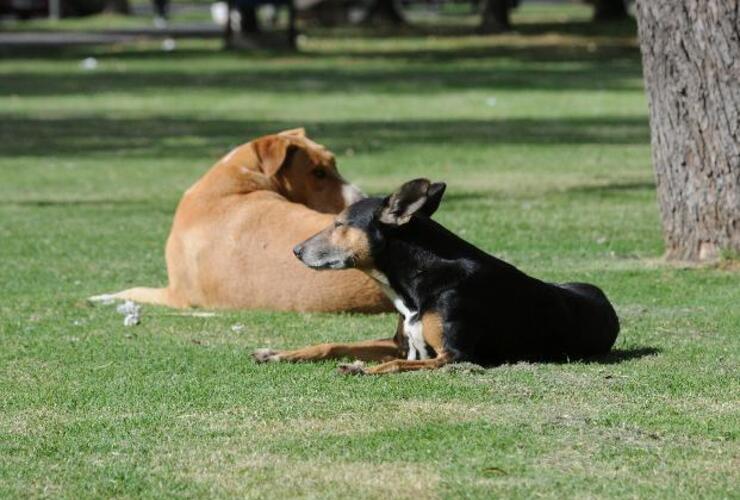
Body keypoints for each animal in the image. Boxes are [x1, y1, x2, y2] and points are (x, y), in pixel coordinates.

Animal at [89, 127, 394, 310]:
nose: (364, 199)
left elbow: (128, 290)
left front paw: (101, 296)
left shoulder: (175, 295)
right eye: (319, 172)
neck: (239, 182)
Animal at [254, 180, 620, 376]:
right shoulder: (400, 343)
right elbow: (333, 344)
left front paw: (361, 368)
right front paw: (277, 354)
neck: (418, 282)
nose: (296, 250)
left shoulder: (453, 356)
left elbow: (394, 365)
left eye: (339, 224)